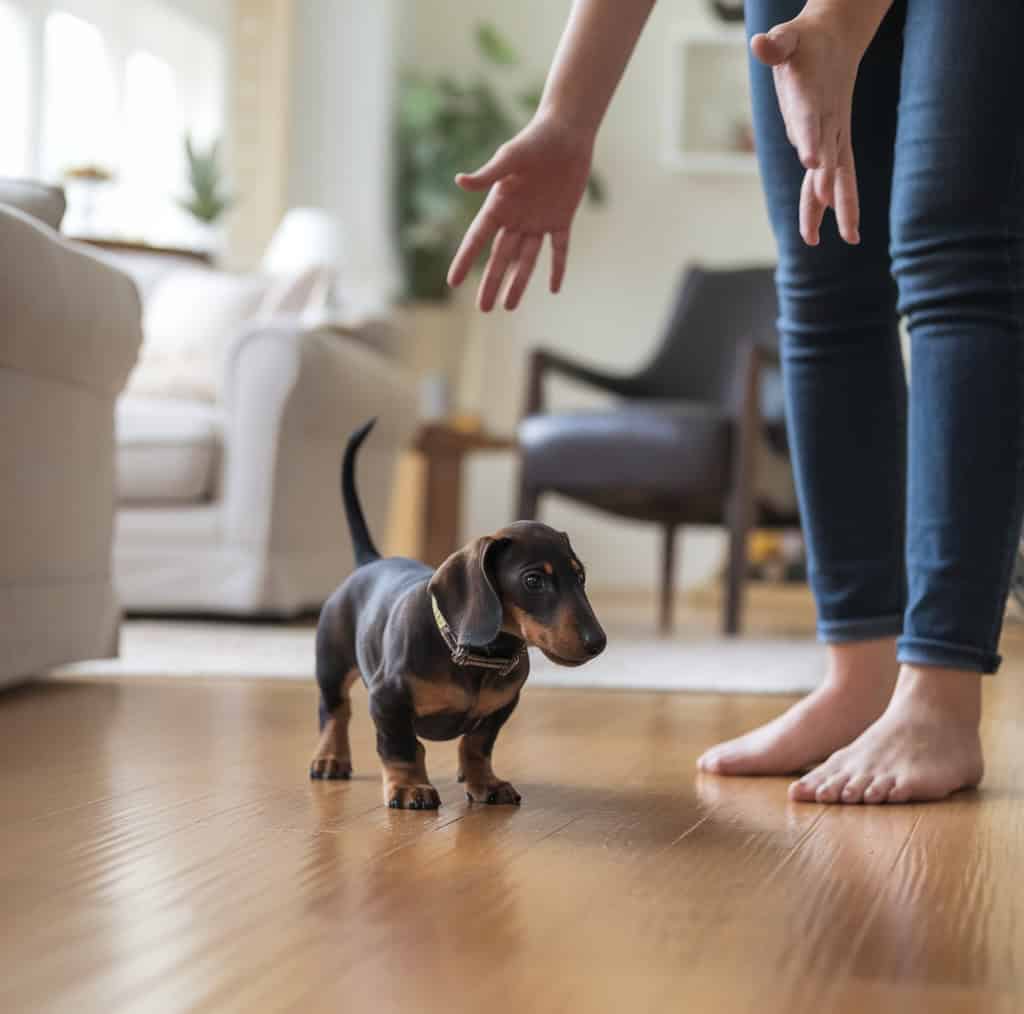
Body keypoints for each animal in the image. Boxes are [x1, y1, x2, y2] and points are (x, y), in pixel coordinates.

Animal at [307, 419, 602, 811]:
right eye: (533, 580)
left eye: (580, 577)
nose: (597, 642)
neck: (479, 657)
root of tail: (370, 561)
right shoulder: (387, 699)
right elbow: (401, 747)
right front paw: (408, 787)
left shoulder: (500, 708)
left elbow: (476, 746)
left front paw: (485, 782)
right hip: (332, 666)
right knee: (334, 711)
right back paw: (331, 758)